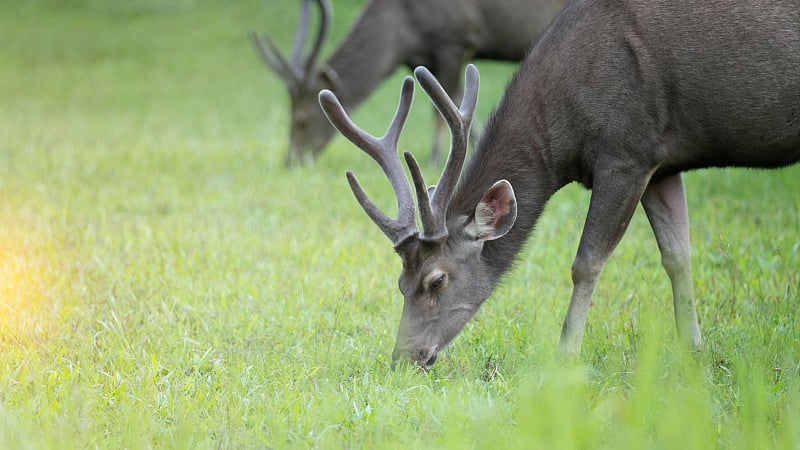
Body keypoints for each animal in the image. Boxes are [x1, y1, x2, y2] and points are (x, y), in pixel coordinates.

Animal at [250, 0, 568, 167]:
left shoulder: (456, 41)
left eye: (302, 119)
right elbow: (453, 100)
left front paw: (435, 159)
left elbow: (442, 108)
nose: (291, 160)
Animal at [318, 0, 800, 370]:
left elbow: (585, 262)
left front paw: (565, 355)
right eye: (400, 283)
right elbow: (678, 254)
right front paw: (692, 350)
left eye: (436, 280)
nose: (403, 358)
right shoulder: (661, 164)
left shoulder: (626, 151)